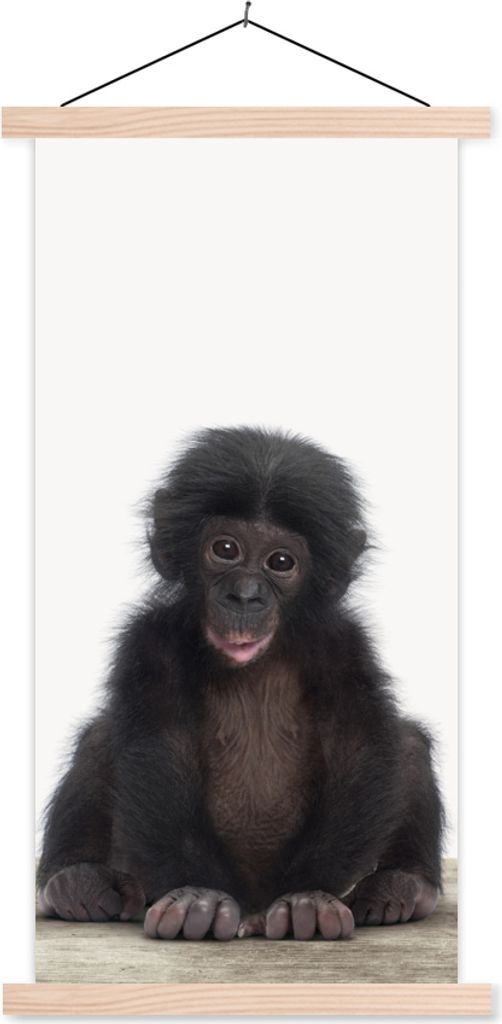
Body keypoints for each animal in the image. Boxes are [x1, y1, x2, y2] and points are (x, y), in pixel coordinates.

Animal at [38, 426, 443, 941]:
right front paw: (199, 899)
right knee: (99, 737)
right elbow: (158, 752)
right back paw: (75, 882)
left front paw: (307, 900)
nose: (246, 595)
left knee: (407, 742)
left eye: (281, 561)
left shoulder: (345, 646)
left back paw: (401, 887)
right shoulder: (149, 639)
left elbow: (360, 753)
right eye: (225, 549)